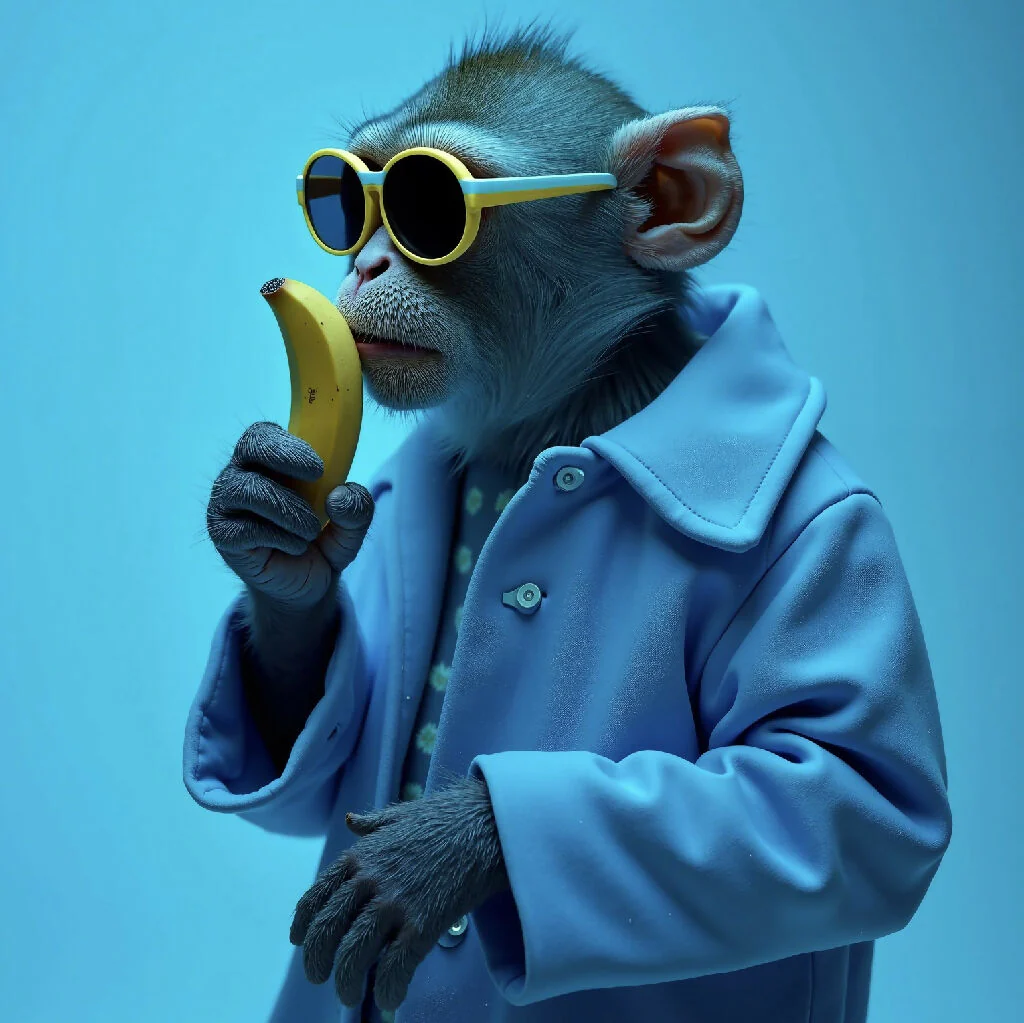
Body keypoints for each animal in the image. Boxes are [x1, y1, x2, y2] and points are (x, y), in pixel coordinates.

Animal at [191, 20, 951, 1023]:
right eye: (341, 198)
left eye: (428, 204)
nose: (363, 262)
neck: (565, 413)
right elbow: (319, 765)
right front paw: (268, 534)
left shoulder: (835, 532)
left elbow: (845, 793)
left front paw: (442, 848)